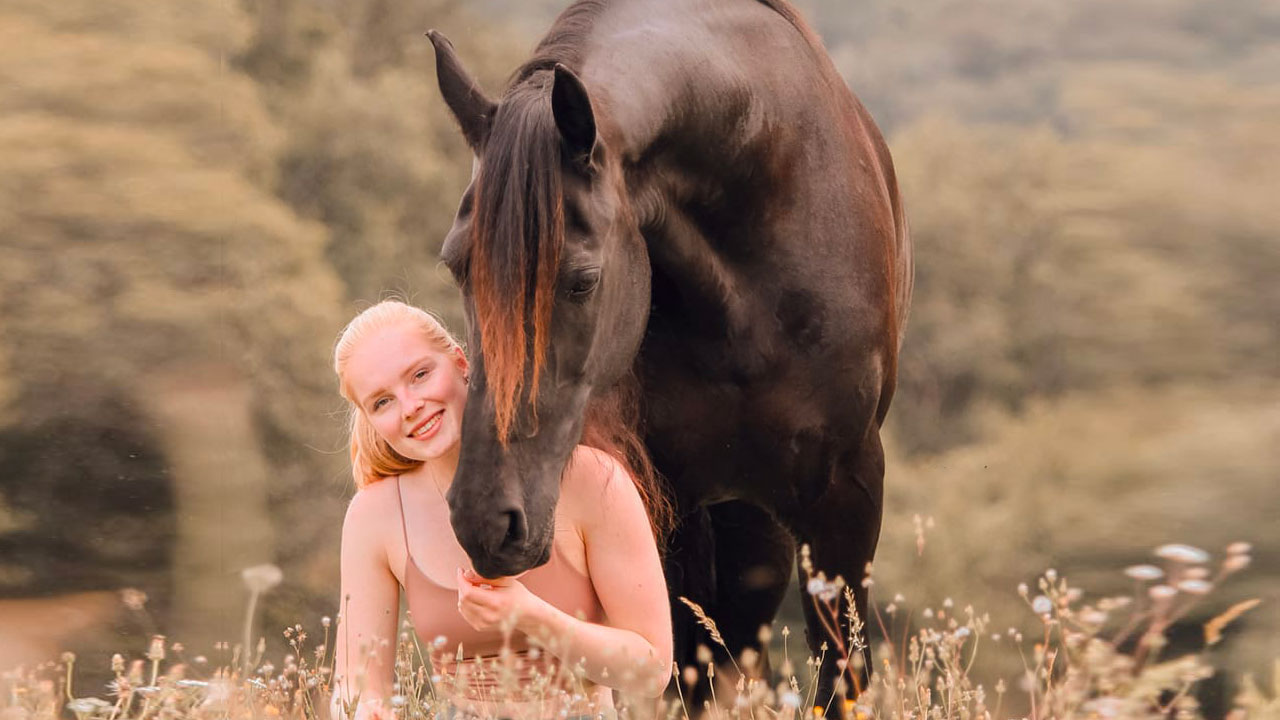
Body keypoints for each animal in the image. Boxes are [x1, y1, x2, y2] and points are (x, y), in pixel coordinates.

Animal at [427, 0, 912, 704]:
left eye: (583, 280)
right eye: (457, 265)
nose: (486, 521)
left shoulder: (847, 496)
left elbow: (840, 674)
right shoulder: (662, 503)